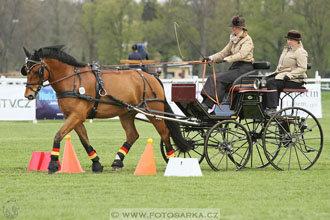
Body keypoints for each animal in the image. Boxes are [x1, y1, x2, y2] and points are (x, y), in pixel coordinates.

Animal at [21, 45, 191, 174]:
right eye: (26, 70)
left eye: (36, 71)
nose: (29, 94)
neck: (72, 80)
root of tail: (151, 77)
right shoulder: (76, 117)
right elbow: (84, 140)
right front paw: (96, 163)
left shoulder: (77, 115)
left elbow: (58, 135)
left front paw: (52, 164)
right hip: (127, 113)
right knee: (133, 135)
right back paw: (117, 161)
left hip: (154, 112)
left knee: (164, 133)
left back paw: (172, 159)